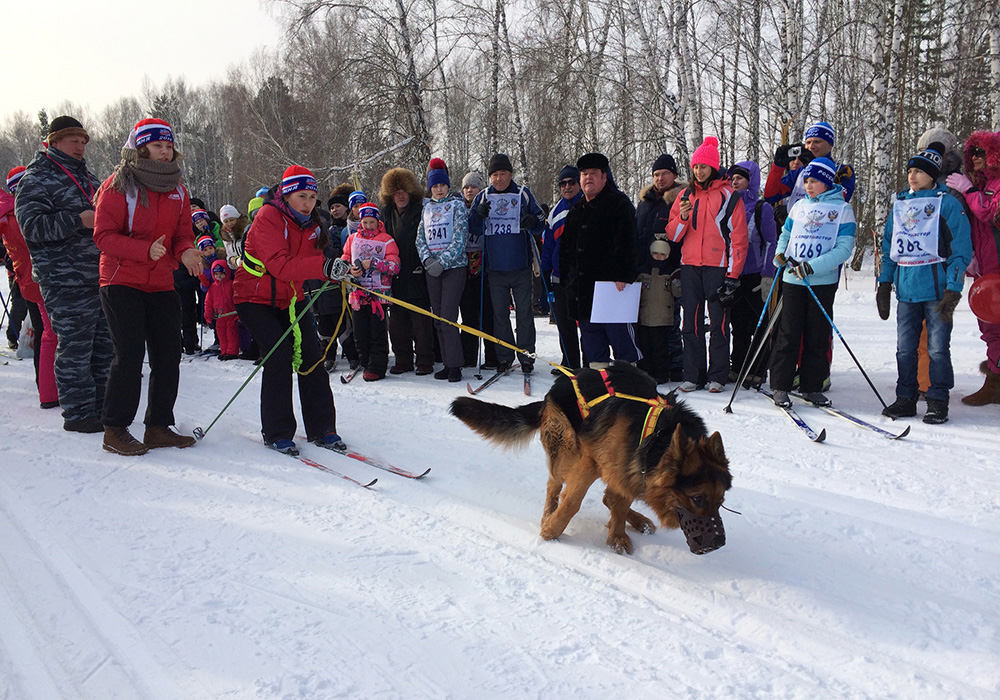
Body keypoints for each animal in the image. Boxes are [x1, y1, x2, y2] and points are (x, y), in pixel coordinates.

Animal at [450, 364, 732, 556]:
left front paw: (617, 535)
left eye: (721, 501)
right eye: (698, 498)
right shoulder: (591, 461)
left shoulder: (628, 466)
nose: (718, 544)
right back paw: (548, 514)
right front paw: (551, 530)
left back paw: (637, 520)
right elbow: (572, 502)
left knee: (609, 496)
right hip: (568, 448)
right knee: (554, 484)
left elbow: (619, 502)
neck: (658, 437)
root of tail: (553, 389)